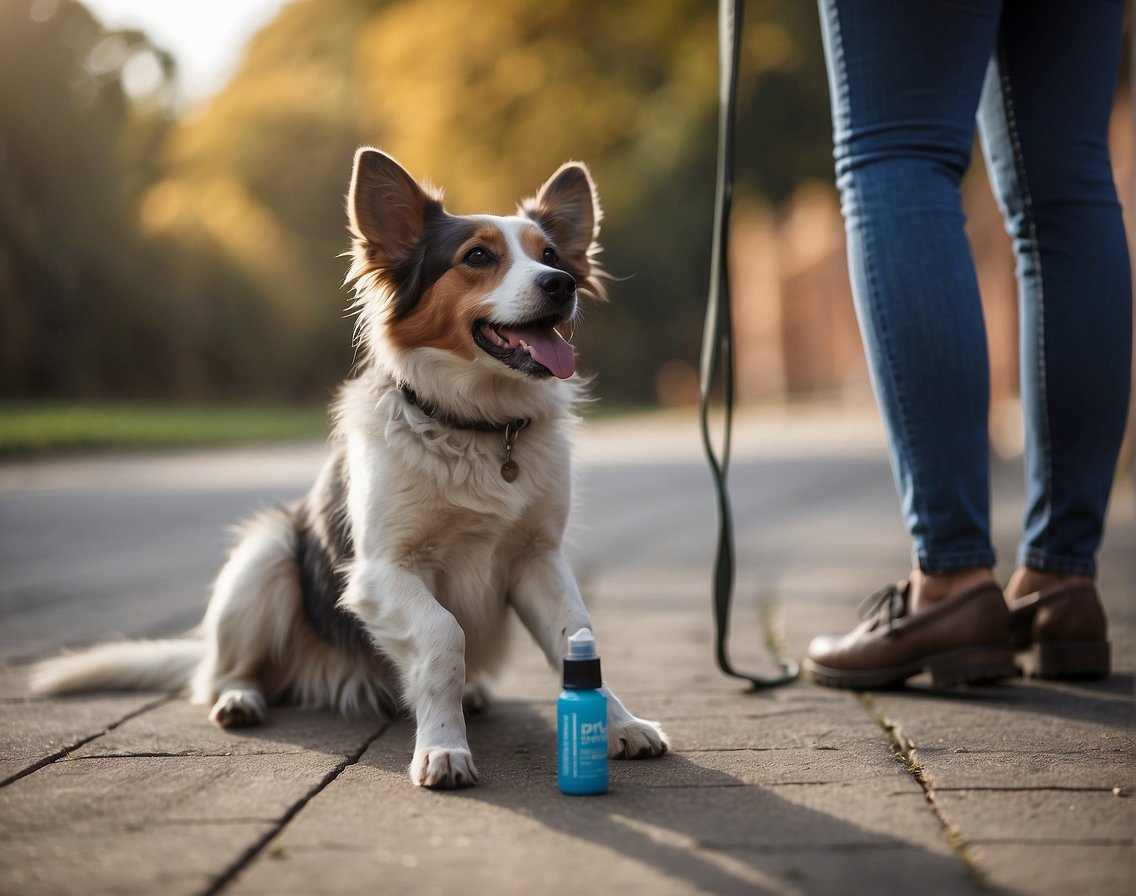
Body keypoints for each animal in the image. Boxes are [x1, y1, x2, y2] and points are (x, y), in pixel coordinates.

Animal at [31, 149, 667, 785]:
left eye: (551, 255)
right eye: (478, 257)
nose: (560, 284)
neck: (477, 426)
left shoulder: (537, 557)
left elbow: (576, 633)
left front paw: (618, 724)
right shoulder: (382, 570)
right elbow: (444, 635)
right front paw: (443, 746)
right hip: (266, 555)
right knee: (217, 674)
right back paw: (239, 698)